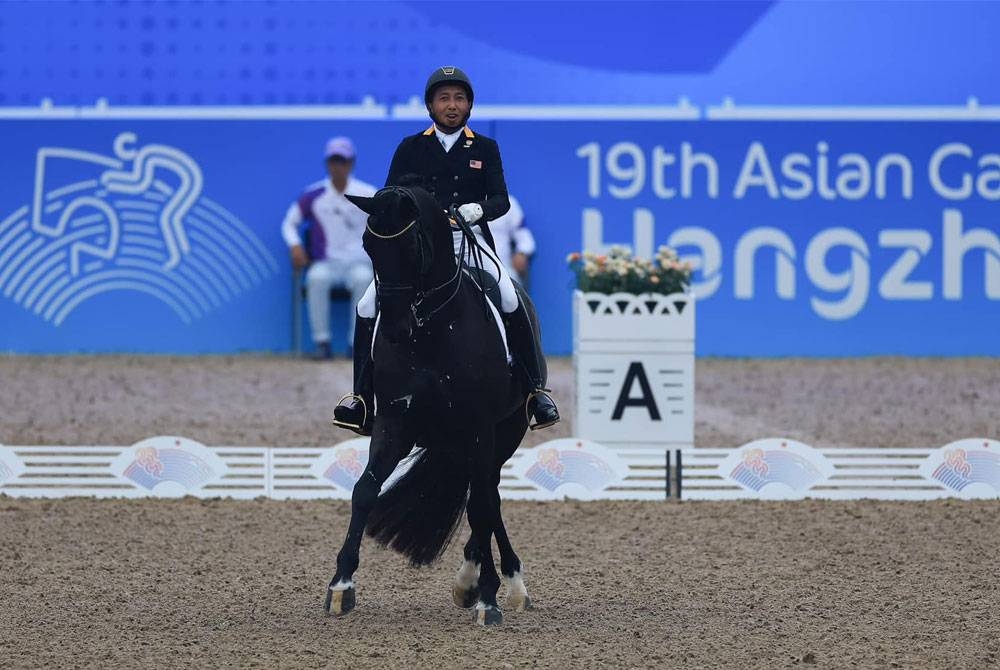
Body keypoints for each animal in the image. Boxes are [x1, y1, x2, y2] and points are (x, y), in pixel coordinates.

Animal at [324, 186, 540, 628]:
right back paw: (476, 580)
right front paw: (341, 587)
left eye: (411, 245)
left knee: (487, 498)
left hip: (505, 433)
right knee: (484, 496)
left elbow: (482, 505)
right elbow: (365, 489)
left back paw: (507, 584)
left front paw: (488, 599)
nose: (394, 328)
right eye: (367, 244)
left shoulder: (480, 427)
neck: (431, 332)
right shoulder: (394, 421)